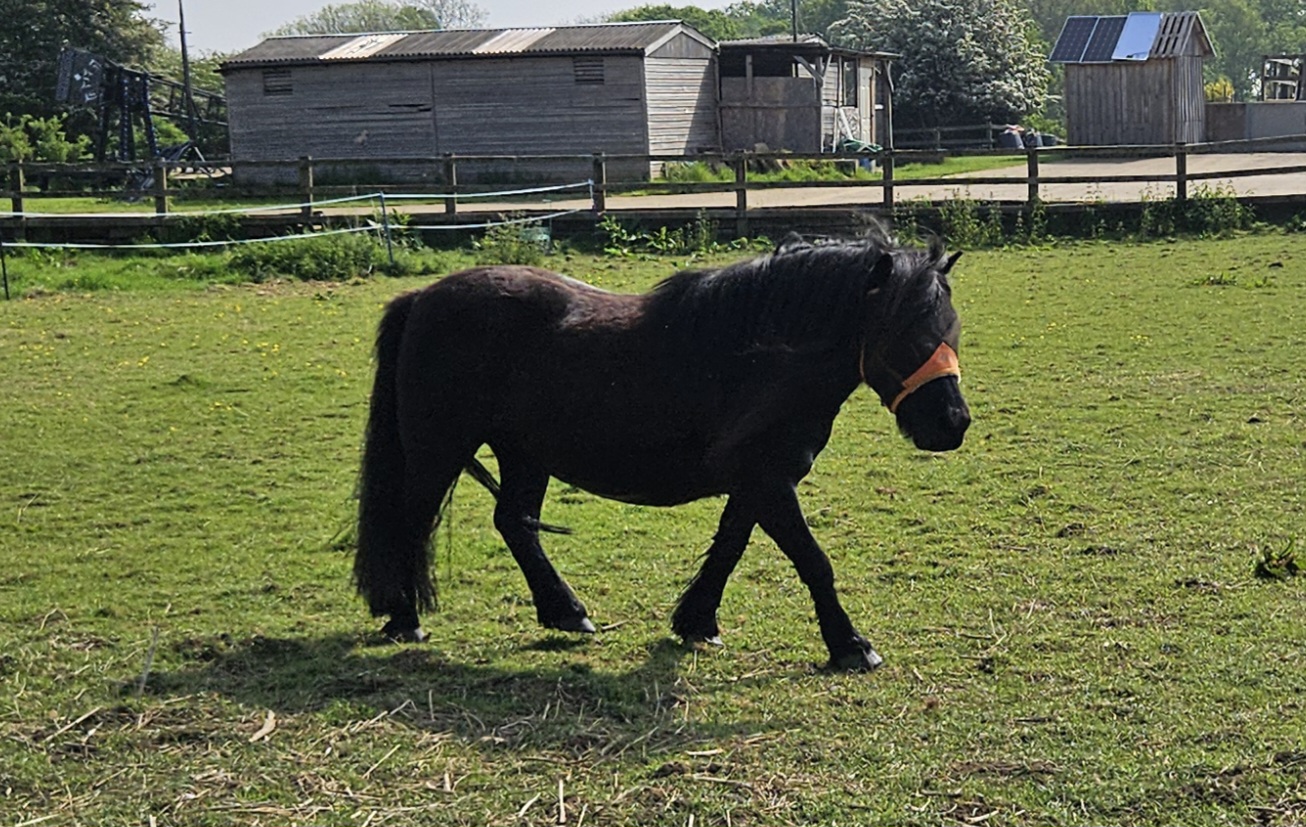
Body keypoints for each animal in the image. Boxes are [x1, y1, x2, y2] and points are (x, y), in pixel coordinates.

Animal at [352, 228, 966, 668]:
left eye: (949, 328)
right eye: (902, 332)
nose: (952, 423)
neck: (762, 358)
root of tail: (423, 297)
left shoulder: (756, 481)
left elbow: (729, 548)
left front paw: (696, 622)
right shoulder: (767, 482)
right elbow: (813, 561)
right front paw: (850, 645)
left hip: (523, 452)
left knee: (515, 523)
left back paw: (566, 612)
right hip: (438, 450)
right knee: (411, 523)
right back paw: (405, 617)